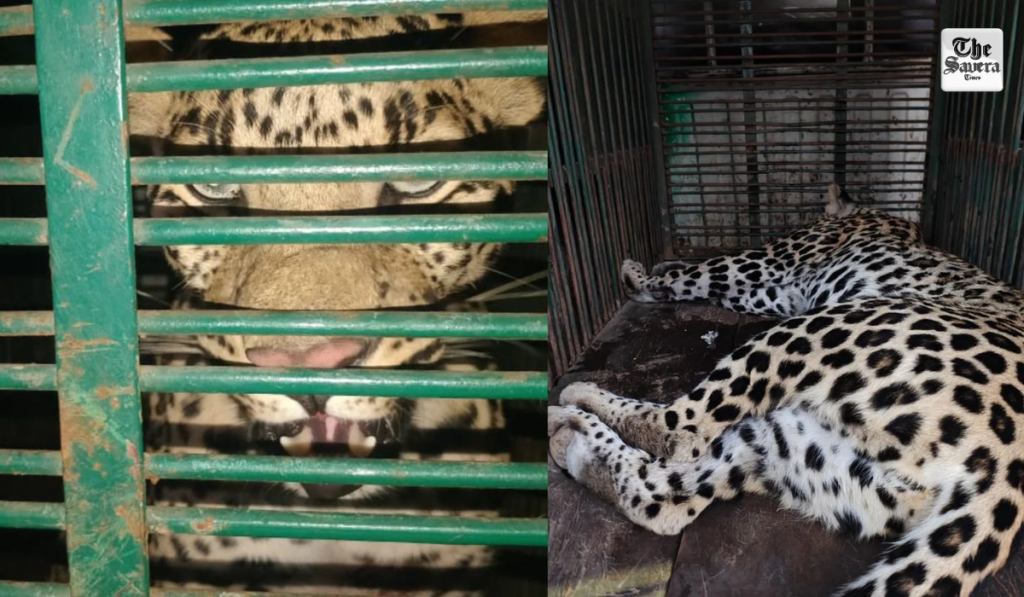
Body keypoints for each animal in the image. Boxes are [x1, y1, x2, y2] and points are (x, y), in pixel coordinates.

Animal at [549, 182, 1024, 597]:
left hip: (821, 327)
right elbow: (714, 286)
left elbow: (703, 271)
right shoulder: (779, 293)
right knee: (663, 498)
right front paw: (654, 276)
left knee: (680, 431)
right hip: (802, 450)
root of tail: (1006, 472)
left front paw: (640, 276)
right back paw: (568, 438)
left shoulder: (773, 264)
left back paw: (575, 399)